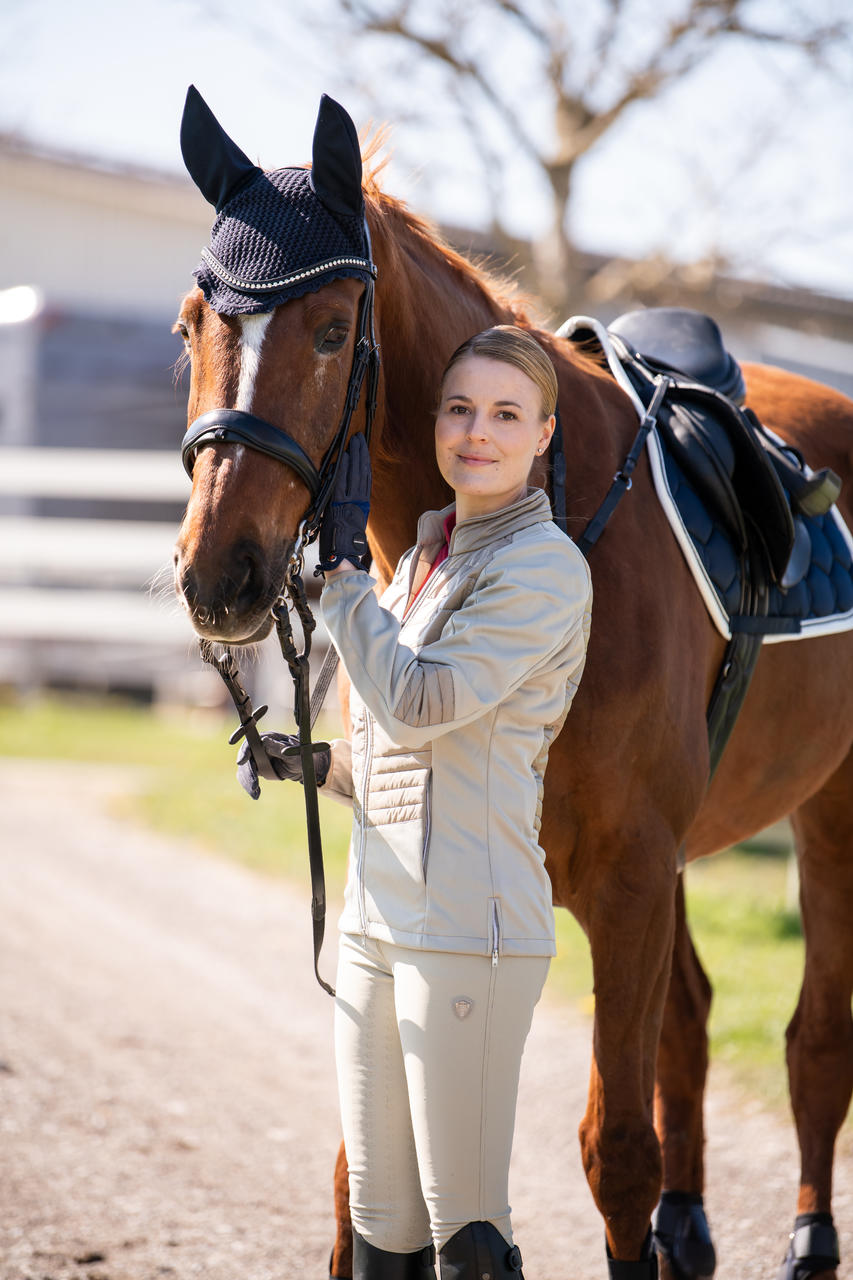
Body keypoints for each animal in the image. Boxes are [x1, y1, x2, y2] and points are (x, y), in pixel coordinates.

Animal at [171, 92, 850, 1280]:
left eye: (332, 331)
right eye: (188, 328)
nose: (219, 576)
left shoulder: (627, 879)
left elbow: (614, 1149)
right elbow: (363, 1174)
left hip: (830, 815)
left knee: (815, 1037)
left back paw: (808, 1243)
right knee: (691, 1023)